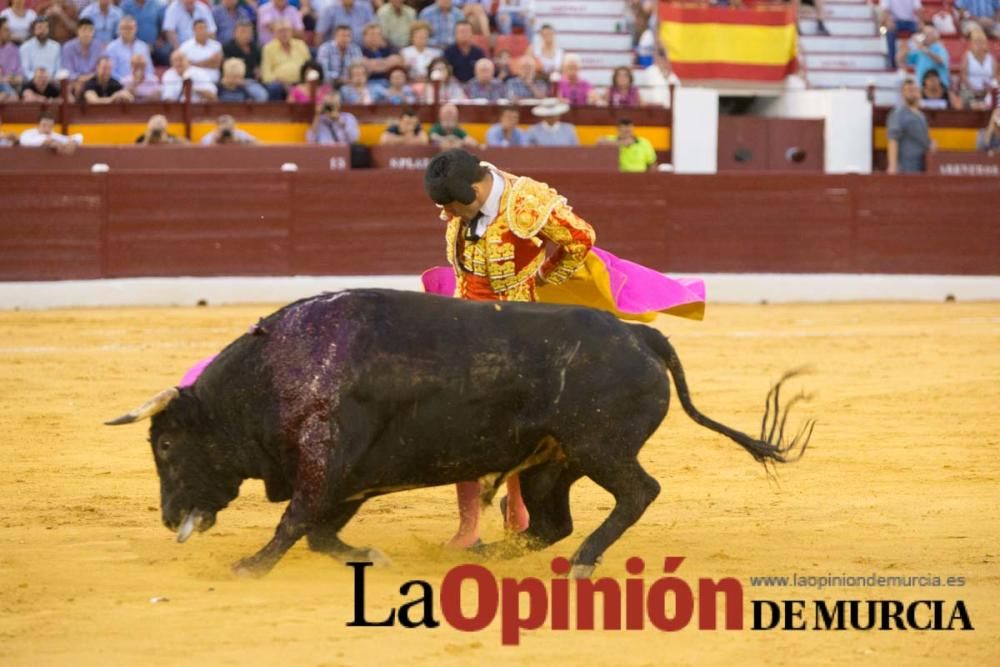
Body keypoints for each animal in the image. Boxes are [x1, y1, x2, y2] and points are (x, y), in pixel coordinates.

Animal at [107, 290, 812, 576]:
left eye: (165, 445)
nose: (168, 517)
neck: (276, 371)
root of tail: (639, 333)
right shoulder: (353, 476)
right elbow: (321, 533)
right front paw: (369, 556)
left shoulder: (325, 462)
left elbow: (296, 523)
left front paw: (249, 566)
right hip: (551, 460)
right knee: (550, 521)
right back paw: (490, 555)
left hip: (600, 447)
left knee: (638, 493)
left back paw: (583, 563)